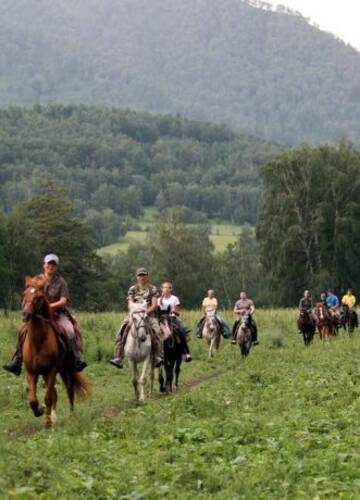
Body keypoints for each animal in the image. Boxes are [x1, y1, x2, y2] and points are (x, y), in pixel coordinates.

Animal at [21, 276, 90, 428]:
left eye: (39, 297)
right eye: (24, 294)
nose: (25, 314)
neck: (38, 341)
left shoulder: (52, 369)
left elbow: (48, 398)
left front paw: (47, 423)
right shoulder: (32, 372)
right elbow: (33, 400)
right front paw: (40, 411)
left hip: (66, 369)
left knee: (69, 390)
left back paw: (71, 416)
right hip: (46, 374)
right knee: (55, 393)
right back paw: (54, 417)